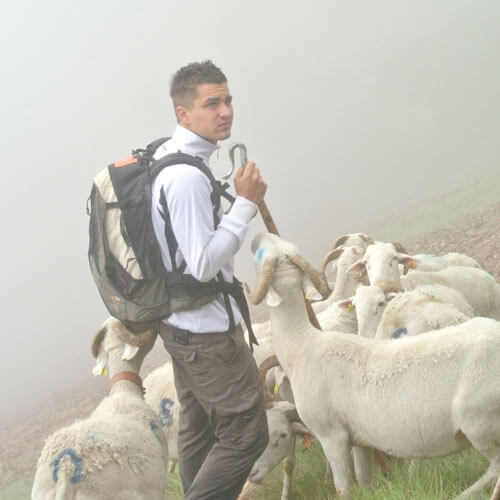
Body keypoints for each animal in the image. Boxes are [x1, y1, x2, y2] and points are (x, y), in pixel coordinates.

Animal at [245, 233, 500, 500]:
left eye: (282, 435)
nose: (252, 474)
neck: (302, 342)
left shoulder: (332, 437)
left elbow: (343, 489)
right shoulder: (358, 440)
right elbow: (364, 478)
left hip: (480, 424)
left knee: (496, 467)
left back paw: (463, 494)